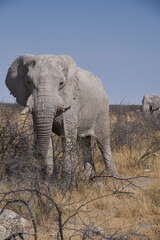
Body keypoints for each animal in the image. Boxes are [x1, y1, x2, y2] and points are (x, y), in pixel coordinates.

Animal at [5, 54, 119, 182]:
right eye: (28, 82)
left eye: (61, 83)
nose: (35, 155)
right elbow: (44, 136)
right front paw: (49, 181)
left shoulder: (72, 102)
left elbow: (67, 136)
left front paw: (66, 183)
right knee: (84, 142)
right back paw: (87, 178)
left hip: (102, 108)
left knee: (102, 142)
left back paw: (113, 178)